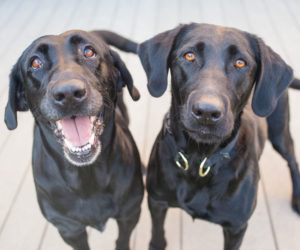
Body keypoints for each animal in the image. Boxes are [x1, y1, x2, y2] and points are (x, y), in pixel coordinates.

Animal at [4, 29, 144, 250]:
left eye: (89, 52)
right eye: (35, 62)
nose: (68, 93)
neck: (87, 178)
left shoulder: (130, 213)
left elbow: (122, 240)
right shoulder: (69, 229)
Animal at [138, 22, 300, 249]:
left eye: (240, 62)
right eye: (189, 56)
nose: (207, 112)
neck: (199, 160)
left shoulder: (236, 227)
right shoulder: (156, 201)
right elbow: (157, 236)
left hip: (279, 132)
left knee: (292, 160)